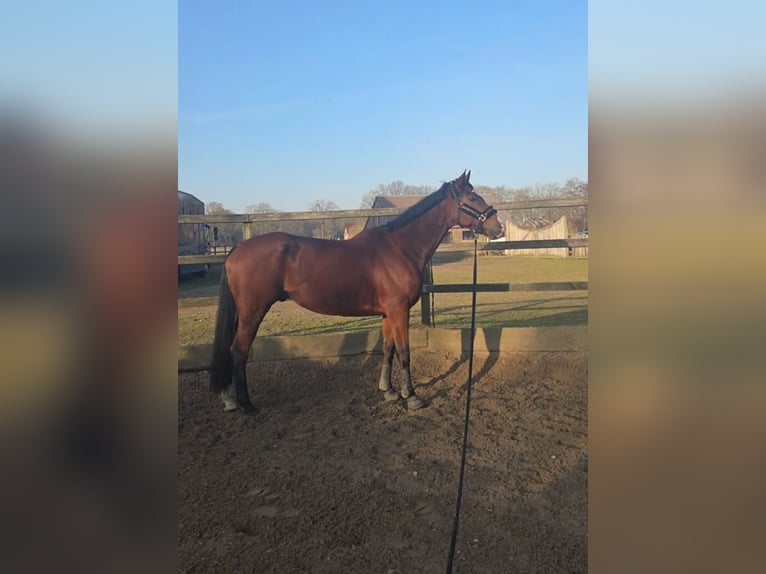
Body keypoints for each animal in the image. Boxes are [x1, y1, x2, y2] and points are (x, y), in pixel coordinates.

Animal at [208, 170, 504, 414]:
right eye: (473, 196)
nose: (498, 227)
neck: (400, 248)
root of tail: (237, 250)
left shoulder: (388, 314)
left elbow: (387, 349)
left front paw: (389, 391)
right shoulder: (399, 311)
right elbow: (404, 352)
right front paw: (411, 396)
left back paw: (231, 399)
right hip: (253, 312)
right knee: (238, 351)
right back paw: (247, 404)